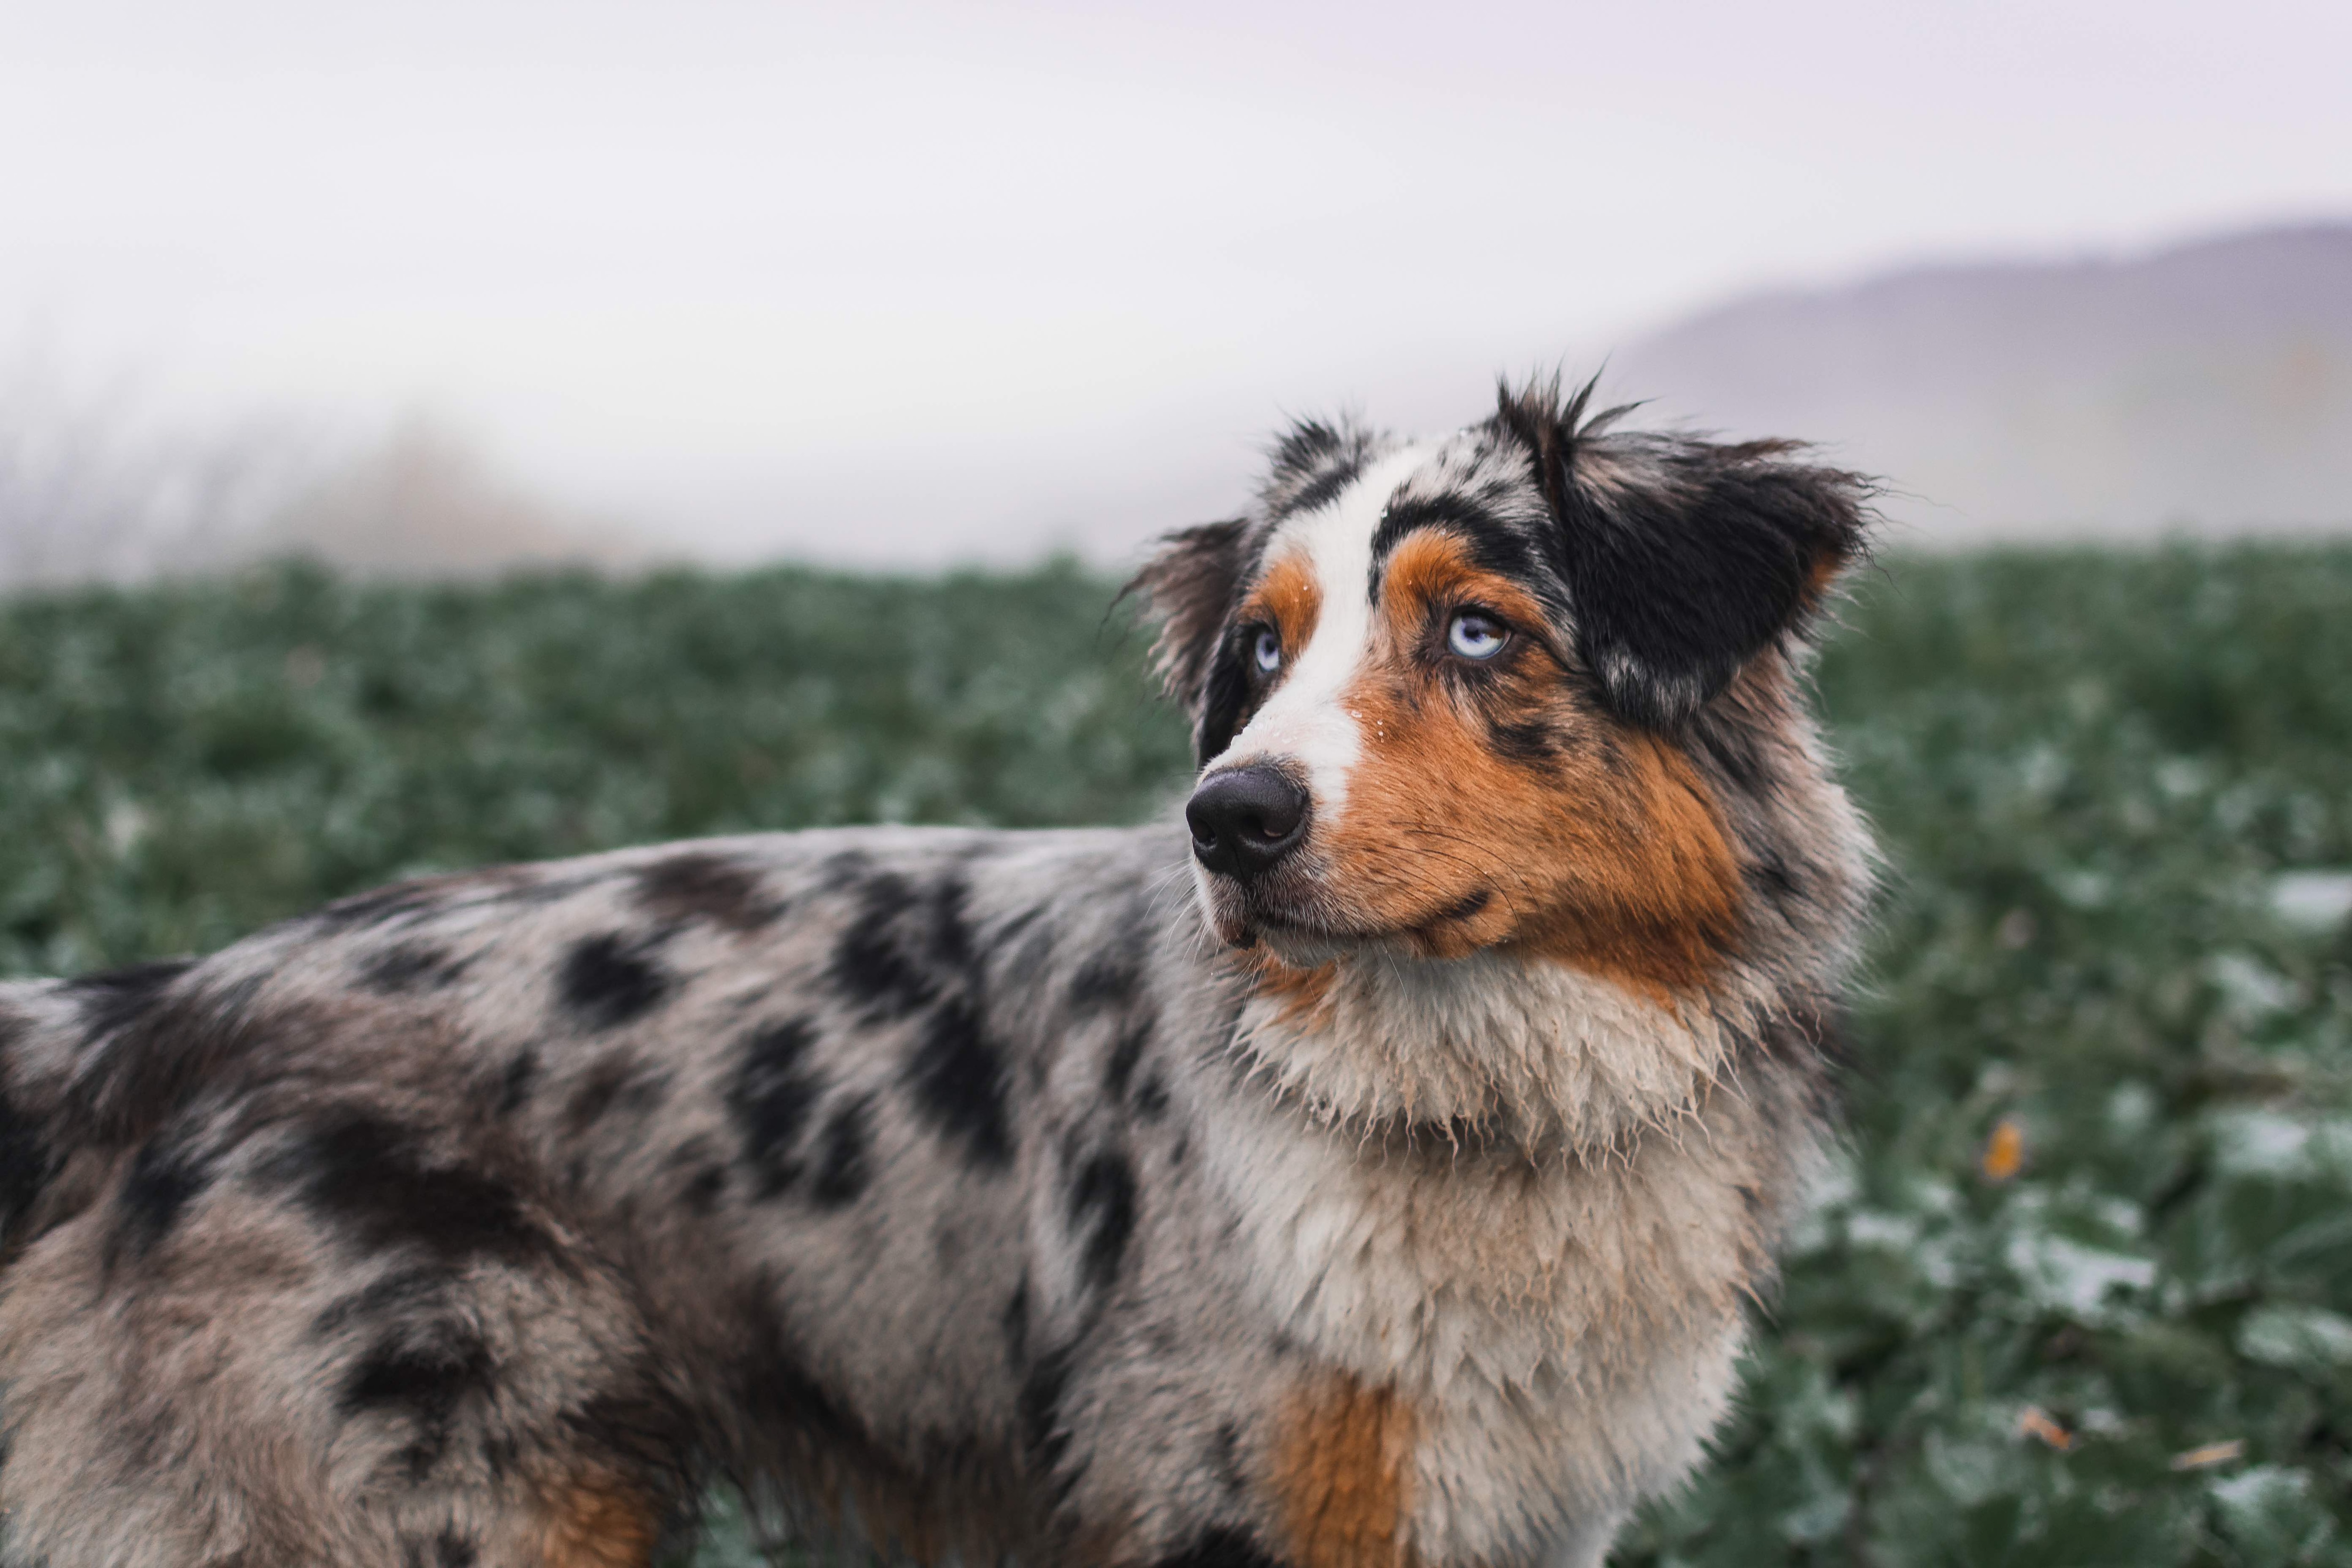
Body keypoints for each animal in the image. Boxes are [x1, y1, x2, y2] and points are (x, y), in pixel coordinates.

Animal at [0, 381, 1872, 1568]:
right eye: (1260, 653)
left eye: (1477, 630)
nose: (1226, 818)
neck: (1489, 1094)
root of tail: (169, 1008)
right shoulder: (1218, 1497)